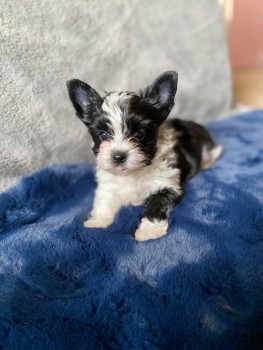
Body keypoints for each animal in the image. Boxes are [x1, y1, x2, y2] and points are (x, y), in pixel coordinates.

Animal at [66, 71, 223, 241]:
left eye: (139, 134)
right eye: (103, 134)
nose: (118, 156)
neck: (134, 173)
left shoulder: (166, 182)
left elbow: (156, 205)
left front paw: (148, 233)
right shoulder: (108, 185)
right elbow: (104, 201)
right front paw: (98, 222)